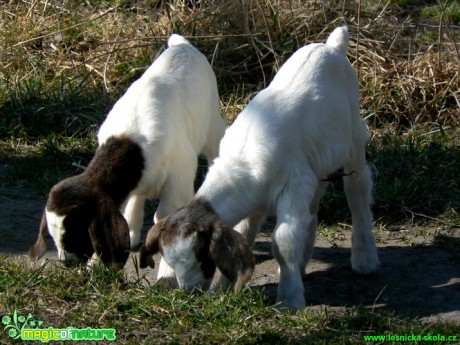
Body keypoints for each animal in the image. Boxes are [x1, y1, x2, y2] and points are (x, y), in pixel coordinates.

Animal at [28, 33, 226, 268]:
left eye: (75, 232)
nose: (67, 263)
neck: (130, 145)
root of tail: (182, 45)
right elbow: (131, 204)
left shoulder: (179, 176)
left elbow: (164, 215)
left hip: (211, 124)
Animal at [139, 25, 378, 308]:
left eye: (201, 255)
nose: (189, 291)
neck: (243, 162)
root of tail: (331, 46)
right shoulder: (265, 194)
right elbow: (245, 231)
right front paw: (224, 288)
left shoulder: (294, 185)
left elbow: (283, 241)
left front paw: (289, 298)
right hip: (317, 163)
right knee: (313, 208)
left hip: (354, 138)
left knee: (358, 190)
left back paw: (364, 257)